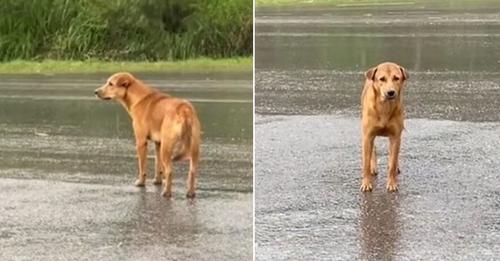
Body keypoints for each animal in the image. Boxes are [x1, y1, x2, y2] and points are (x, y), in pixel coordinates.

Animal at [362, 61, 408, 191]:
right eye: (382, 79)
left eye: (396, 78)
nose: (391, 92)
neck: (385, 107)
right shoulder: (368, 135)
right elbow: (365, 163)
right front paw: (366, 183)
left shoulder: (395, 136)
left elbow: (392, 162)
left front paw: (392, 183)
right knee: (373, 150)